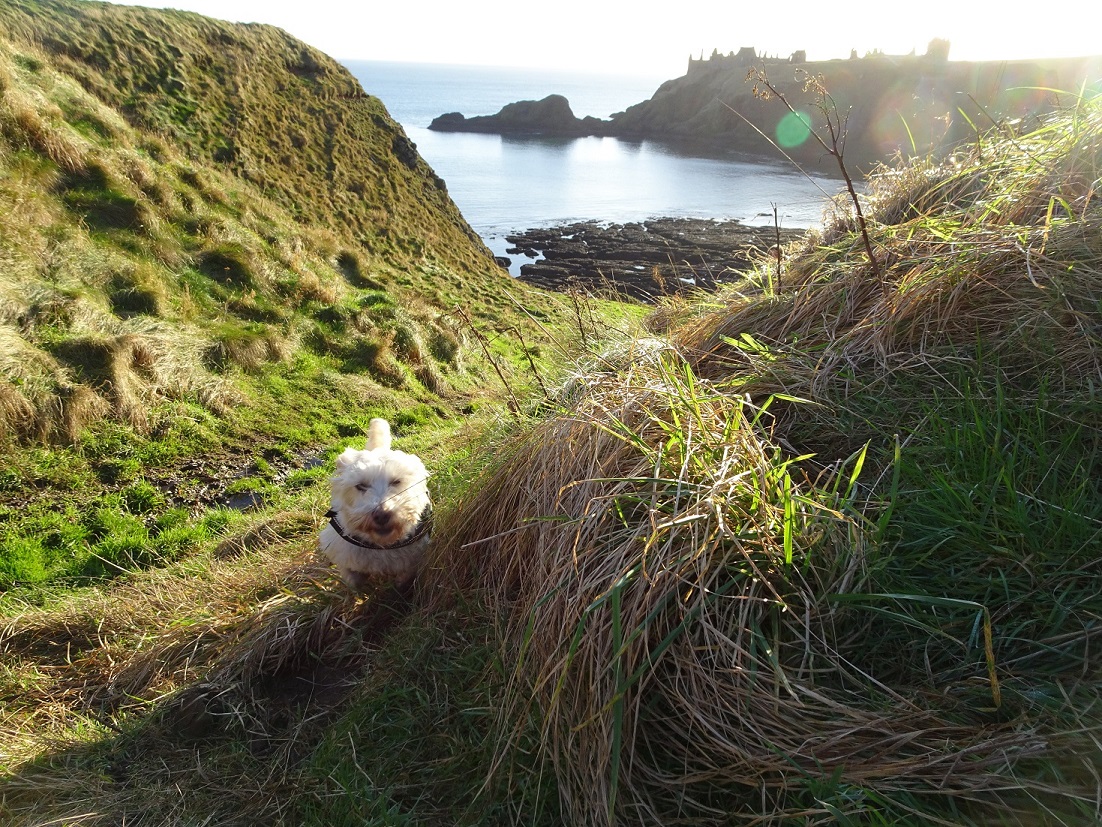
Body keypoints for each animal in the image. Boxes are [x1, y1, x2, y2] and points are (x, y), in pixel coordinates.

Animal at [319, 421, 429, 591]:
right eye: (360, 486)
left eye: (396, 481)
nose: (382, 515)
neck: (381, 545)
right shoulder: (340, 551)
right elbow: (352, 578)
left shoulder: (413, 558)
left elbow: (404, 577)